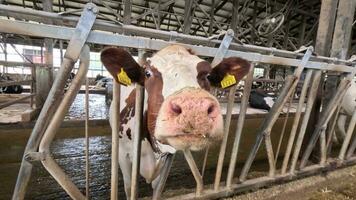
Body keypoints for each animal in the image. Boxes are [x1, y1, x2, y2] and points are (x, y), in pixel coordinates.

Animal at [100, 44, 250, 199]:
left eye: (208, 75)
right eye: (147, 73)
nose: (193, 108)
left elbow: (156, 188)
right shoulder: (123, 154)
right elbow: (129, 187)